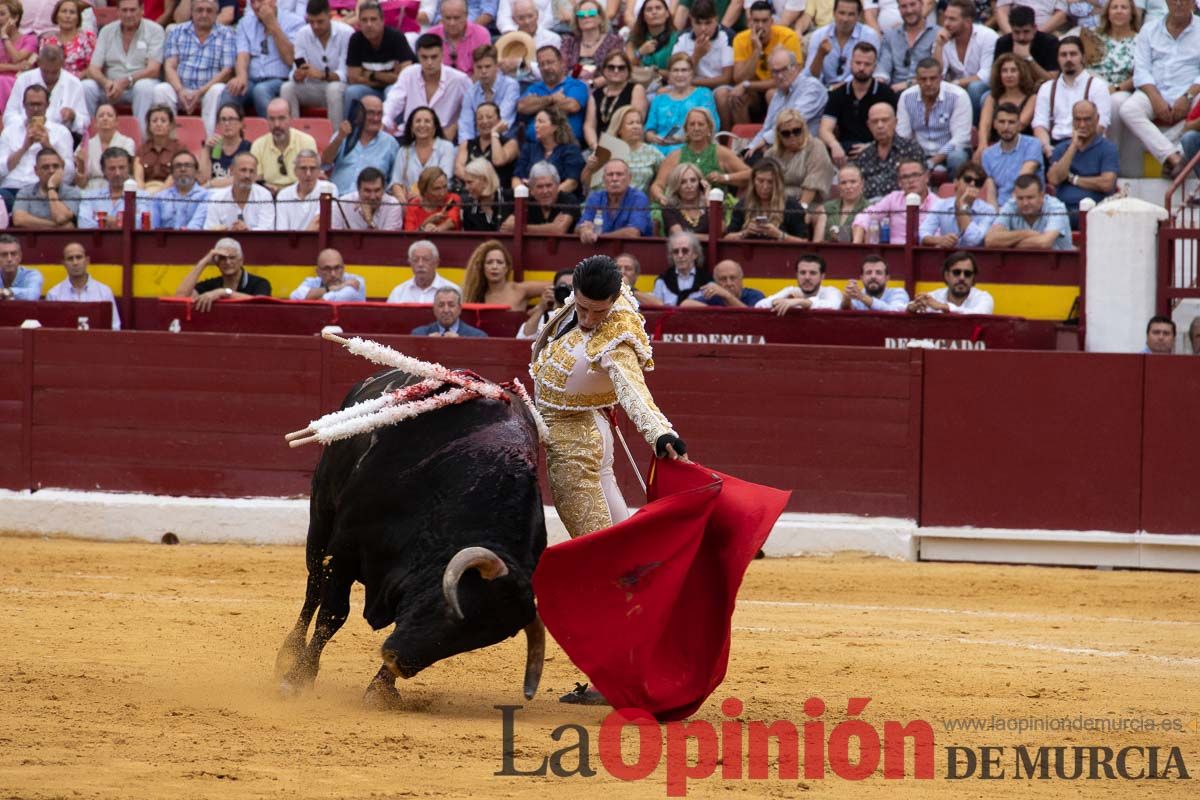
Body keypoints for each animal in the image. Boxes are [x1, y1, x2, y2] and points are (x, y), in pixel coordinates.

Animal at [274, 369, 549, 705]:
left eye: (475, 641)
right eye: (451, 611)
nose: (398, 661)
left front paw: (381, 691)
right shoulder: (345, 548)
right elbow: (333, 613)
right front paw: (298, 678)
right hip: (320, 515)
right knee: (313, 588)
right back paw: (289, 654)